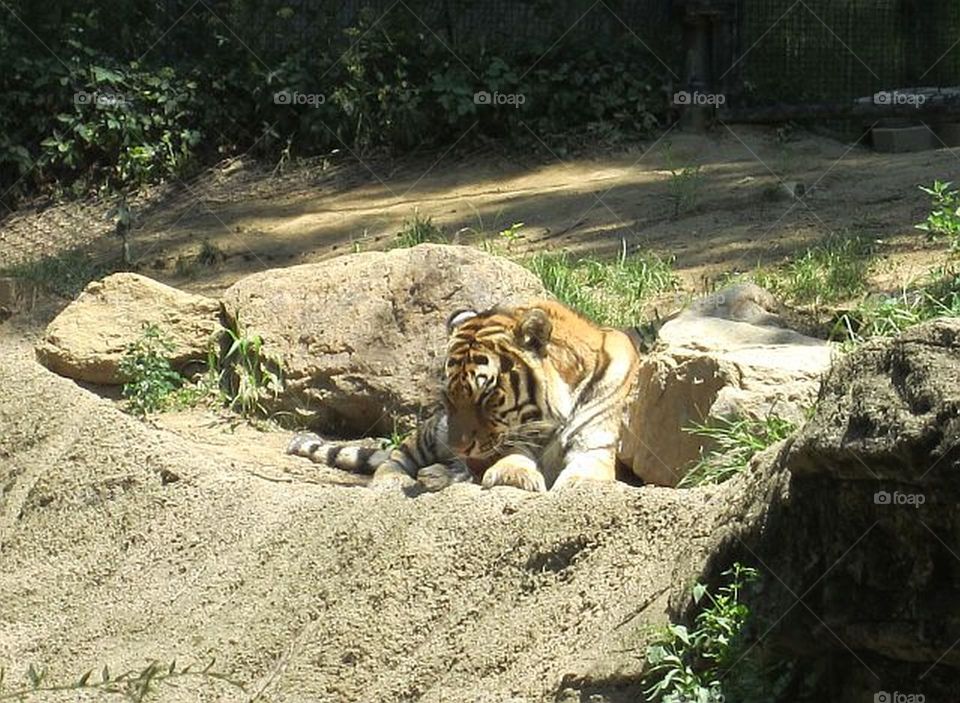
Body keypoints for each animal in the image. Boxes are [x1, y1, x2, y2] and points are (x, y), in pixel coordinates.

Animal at [286, 299, 640, 493]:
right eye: (449, 397)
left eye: (487, 396)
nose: (457, 446)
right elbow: (514, 457)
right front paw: (514, 475)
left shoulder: (594, 447)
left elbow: (585, 475)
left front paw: (577, 485)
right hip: (430, 434)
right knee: (396, 459)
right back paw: (401, 481)